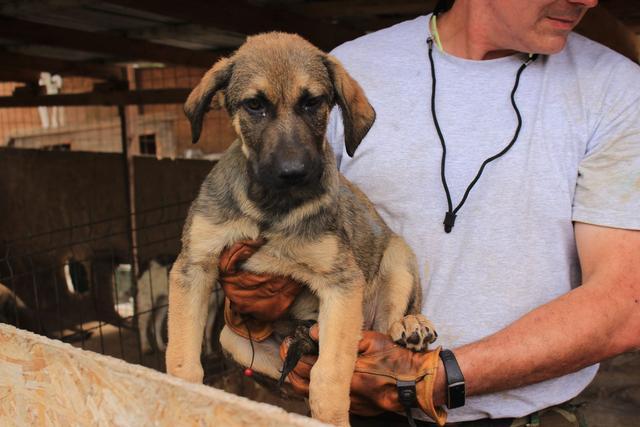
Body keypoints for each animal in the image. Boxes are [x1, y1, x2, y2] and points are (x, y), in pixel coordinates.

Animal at [165, 31, 438, 426]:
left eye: (313, 103)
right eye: (254, 105)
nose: (293, 172)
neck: (270, 209)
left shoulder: (342, 283)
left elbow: (330, 372)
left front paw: (333, 416)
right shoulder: (194, 265)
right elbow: (182, 359)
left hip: (397, 257)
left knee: (388, 320)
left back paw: (411, 326)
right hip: (233, 339)